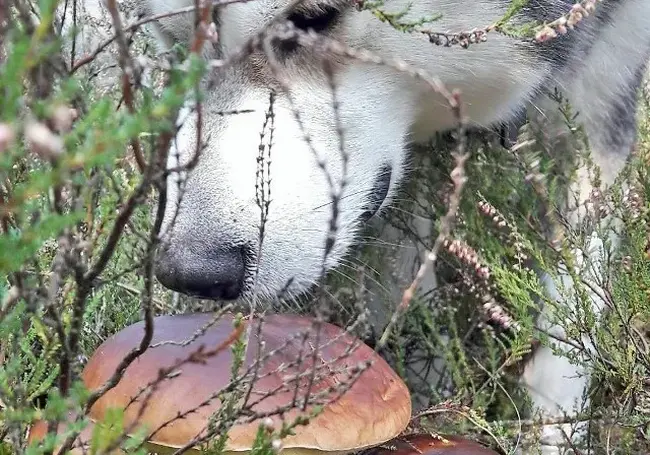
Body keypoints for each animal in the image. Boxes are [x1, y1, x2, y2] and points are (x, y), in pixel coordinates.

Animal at [133, 0, 648, 452]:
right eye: (173, 41)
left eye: (313, 18)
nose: (190, 273)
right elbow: (413, 301)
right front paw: (432, 402)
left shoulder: (605, 108)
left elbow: (571, 321)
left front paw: (554, 436)